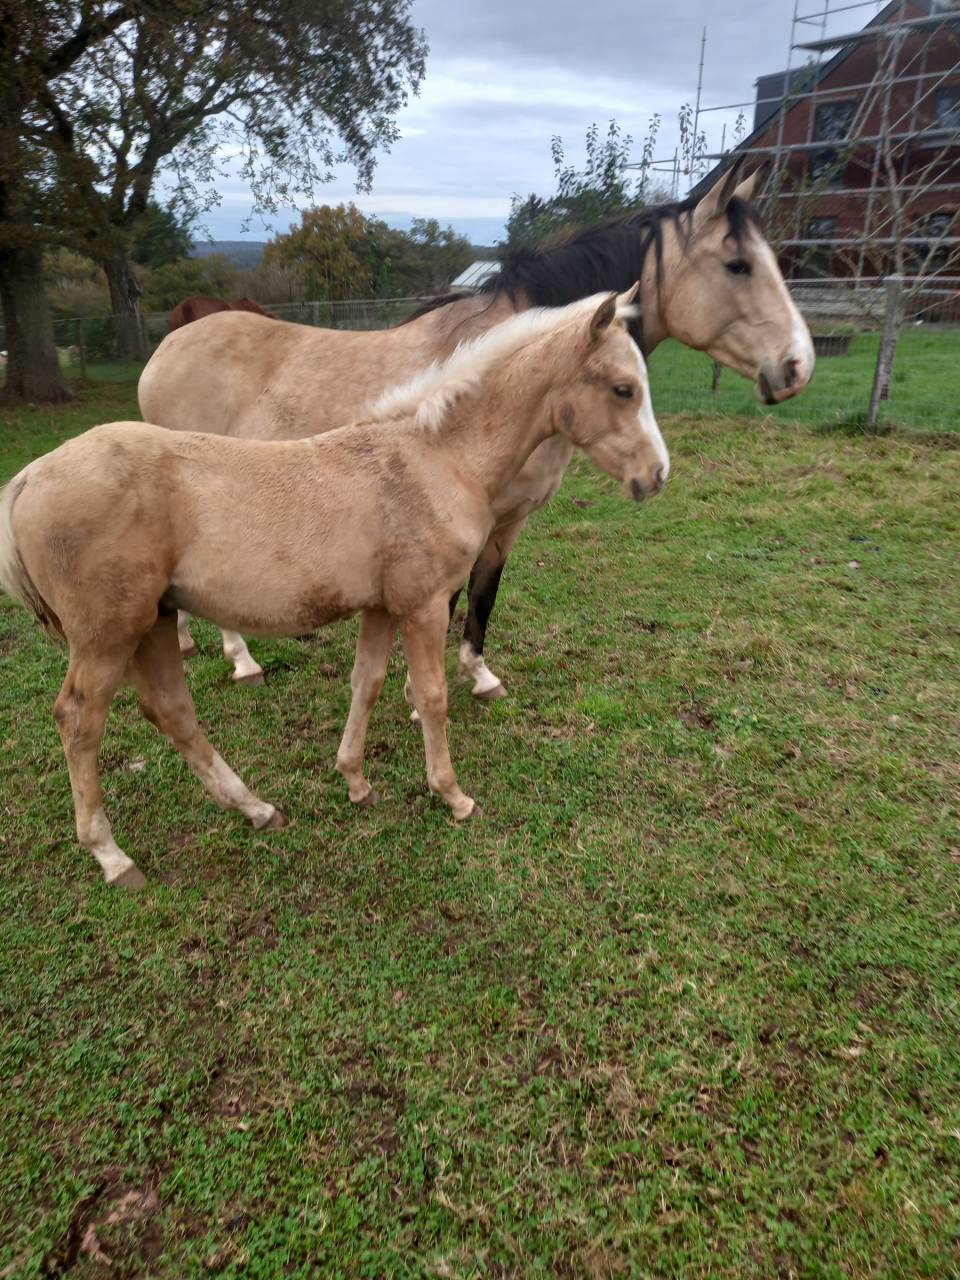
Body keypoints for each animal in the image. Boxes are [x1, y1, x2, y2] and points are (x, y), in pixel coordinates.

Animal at [0, 291, 667, 889]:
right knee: (79, 721)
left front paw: (356, 782)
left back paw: (256, 808)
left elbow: (366, 682)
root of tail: (28, 478)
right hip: (108, 634)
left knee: (170, 710)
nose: (656, 476)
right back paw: (113, 857)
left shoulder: (381, 606)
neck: (436, 458)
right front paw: (452, 795)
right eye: (622, 389)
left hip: (156, 620)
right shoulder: (423, 604)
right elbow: (432, 697)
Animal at [140, 164, 813, 693]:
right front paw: (421, 689)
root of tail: (166, 347)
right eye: (738, 265)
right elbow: (453, 596)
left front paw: (478, 673)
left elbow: (485, 591)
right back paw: (241, 659)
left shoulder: (507, 520)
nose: (797, 365)